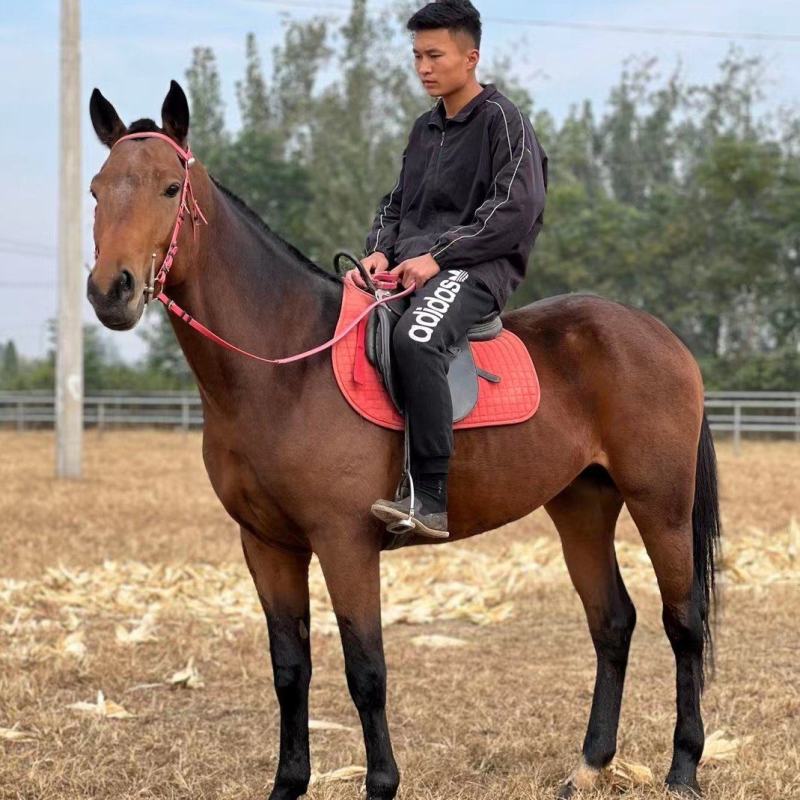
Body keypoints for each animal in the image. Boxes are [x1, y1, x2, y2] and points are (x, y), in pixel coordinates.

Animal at [86, 81, 721, 800]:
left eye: (170, 188)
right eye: (97, 190)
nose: (111, 291)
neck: (286, 365)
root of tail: (658, 334)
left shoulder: (345, 543)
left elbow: (366, 672)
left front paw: (381, 783)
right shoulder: (268, 546)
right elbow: (289, 671)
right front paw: (289, 784)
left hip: (660, 506)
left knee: (684, 623)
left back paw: (682, 768)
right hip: (582, 506)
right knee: (612, 623)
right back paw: (589, 764)